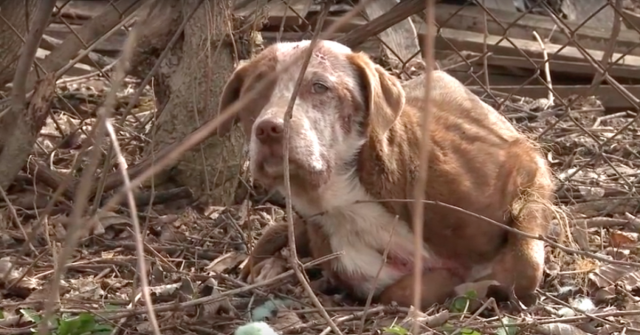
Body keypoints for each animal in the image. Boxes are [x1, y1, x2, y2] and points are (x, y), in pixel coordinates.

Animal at [219, 40, 556, 310]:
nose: (268, 128)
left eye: (319, 86)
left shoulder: (527, 165)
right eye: (252, 95)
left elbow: (526, 264)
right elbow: (401, 291)